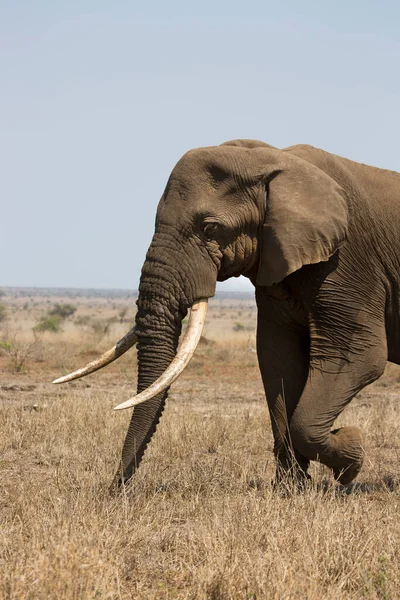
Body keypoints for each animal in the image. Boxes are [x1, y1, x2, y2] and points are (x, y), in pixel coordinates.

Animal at [54, 139, 400, 488]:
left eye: (210, 228)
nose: (115, 488)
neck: (272, 160)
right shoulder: (276, 261)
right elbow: (278, 358)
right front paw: (291, 489)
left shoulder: (348, 263)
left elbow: (360, 357)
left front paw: (351, 455)